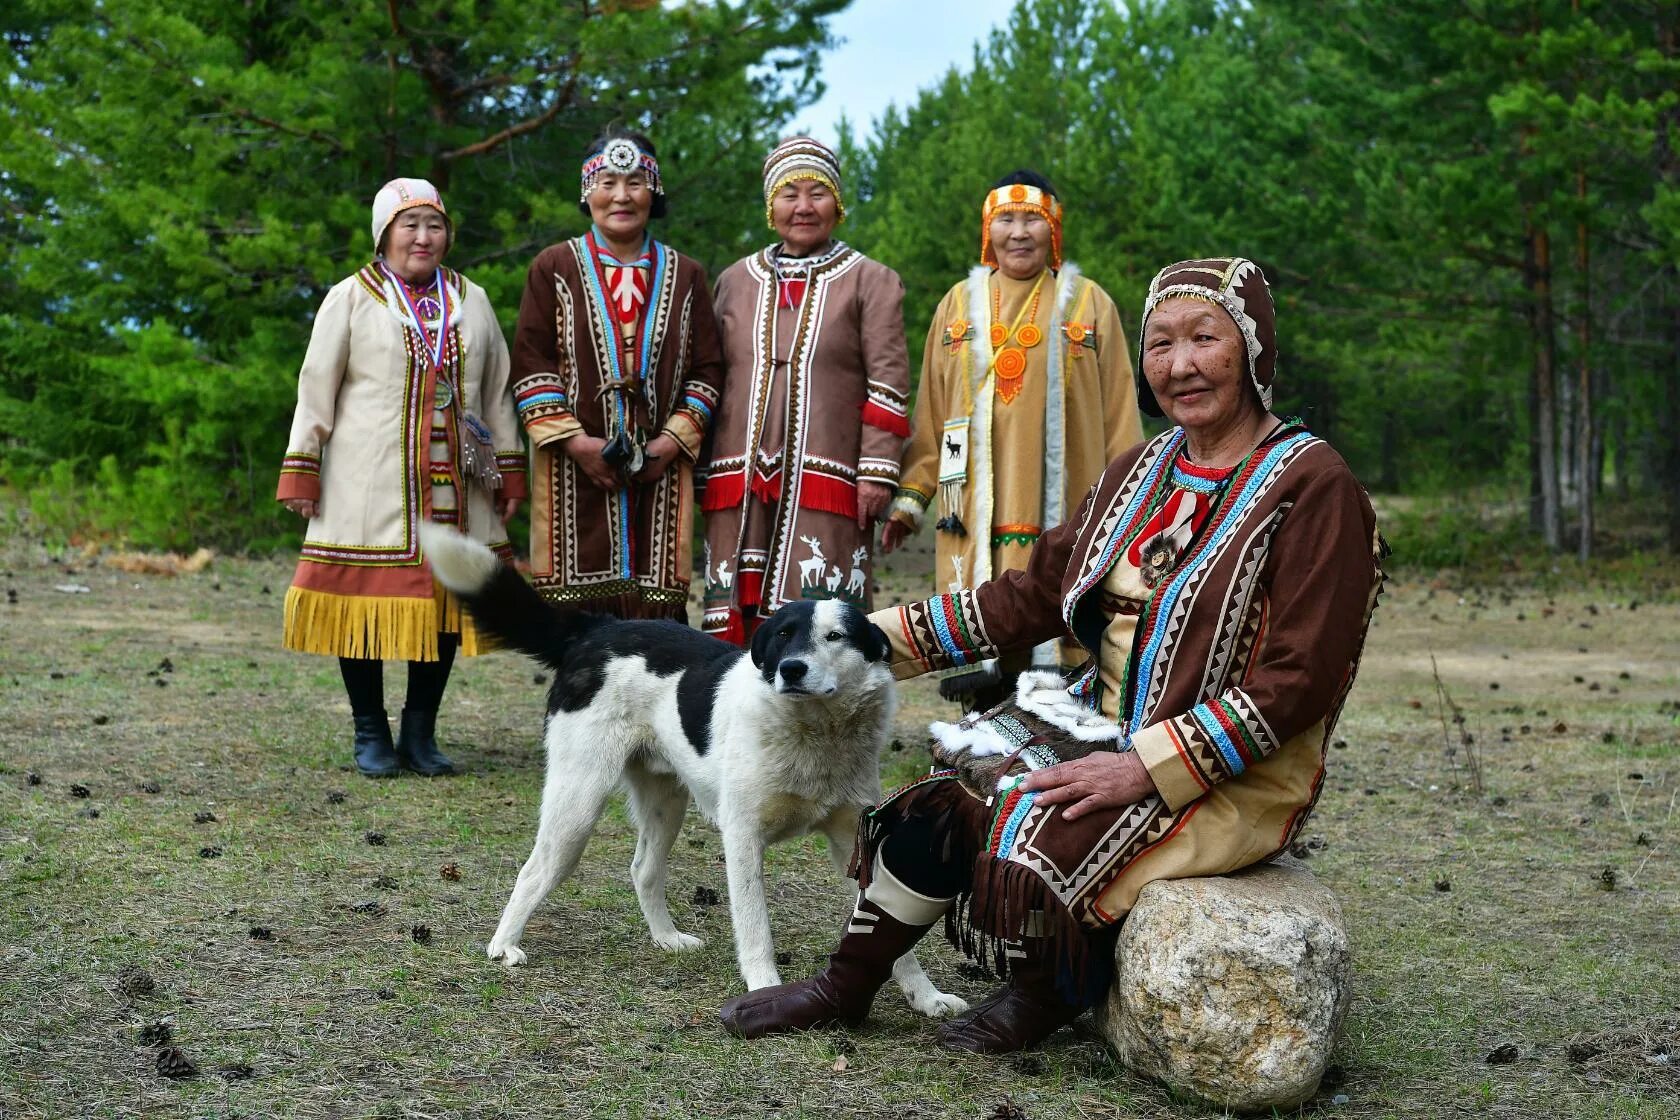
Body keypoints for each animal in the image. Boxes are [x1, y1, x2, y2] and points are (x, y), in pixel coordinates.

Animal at [418, 520, 967, 1020]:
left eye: (835, 636)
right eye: (783, 636)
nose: (790, 670)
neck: (814, 731)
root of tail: (596, 628)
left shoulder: (856, 839)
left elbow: (891, 934)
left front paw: (925, 995)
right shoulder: (743, 837)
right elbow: (755, 926)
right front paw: (765, 989)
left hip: (665, 800)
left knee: (643, 869)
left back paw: (666, 938)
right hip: (579, 799)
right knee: (535, 868)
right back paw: (503, 944)